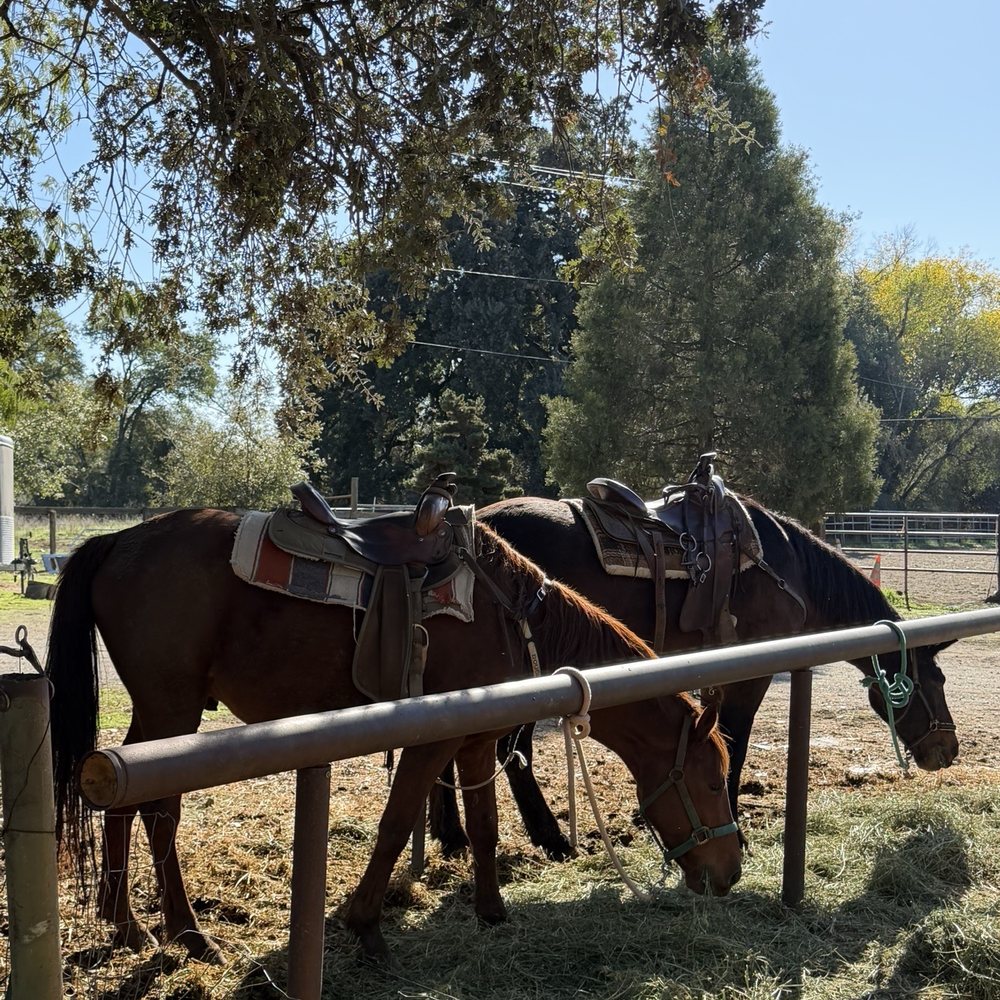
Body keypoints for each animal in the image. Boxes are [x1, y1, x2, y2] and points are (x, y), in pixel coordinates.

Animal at [47, 502, 742, 966]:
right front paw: (365, 924)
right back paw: (187, 932)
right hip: (172, 713)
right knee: (156, 809)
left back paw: (126, 925)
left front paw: (492, 912)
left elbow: (484, 826)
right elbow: (396, 821)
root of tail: (117, 541)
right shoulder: (431, 742)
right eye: (712, 781)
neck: (507, 612)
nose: (730, 873)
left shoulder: (476, 740)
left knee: (118, 802)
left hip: (156, 717)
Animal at [429, 494, 959, 860]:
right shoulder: (750, 674)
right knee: (508, 752)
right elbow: (734, 744)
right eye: (935, 681)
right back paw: (550, 837)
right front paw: (737, 832)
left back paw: (451, 834)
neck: (787, 569)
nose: (948, 751)